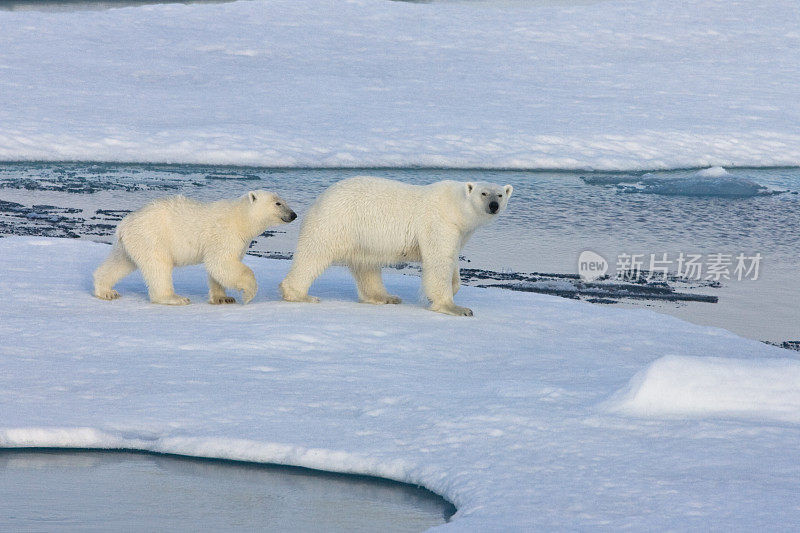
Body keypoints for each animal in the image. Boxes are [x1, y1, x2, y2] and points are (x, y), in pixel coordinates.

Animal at [91, 190, 296, 304]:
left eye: (285, 201)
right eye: (278, 203)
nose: (293, 214)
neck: (241, 219)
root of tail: (124, 224)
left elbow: (219, 267)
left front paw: (223, 298)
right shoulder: (225, 233)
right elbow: (221, 262)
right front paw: (248, 294)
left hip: (132, 242)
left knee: (121, 262)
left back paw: (106, 291)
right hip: (152, 236)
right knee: (158, 266)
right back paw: (174, 298)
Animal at [278, 177, 510, 316]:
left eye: (500, 194)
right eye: (483, 193)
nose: (493, 206)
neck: (454, 206)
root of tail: (319, 199)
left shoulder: (460, 232)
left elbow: (452, 259)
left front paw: (447, 290)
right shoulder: (439, 222)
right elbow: (439, 260)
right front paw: (456, 307)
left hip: (362, 236)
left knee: (366, 266)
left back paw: (385, 297)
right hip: (335, 223)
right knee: (314, 254)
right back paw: (300, 294)